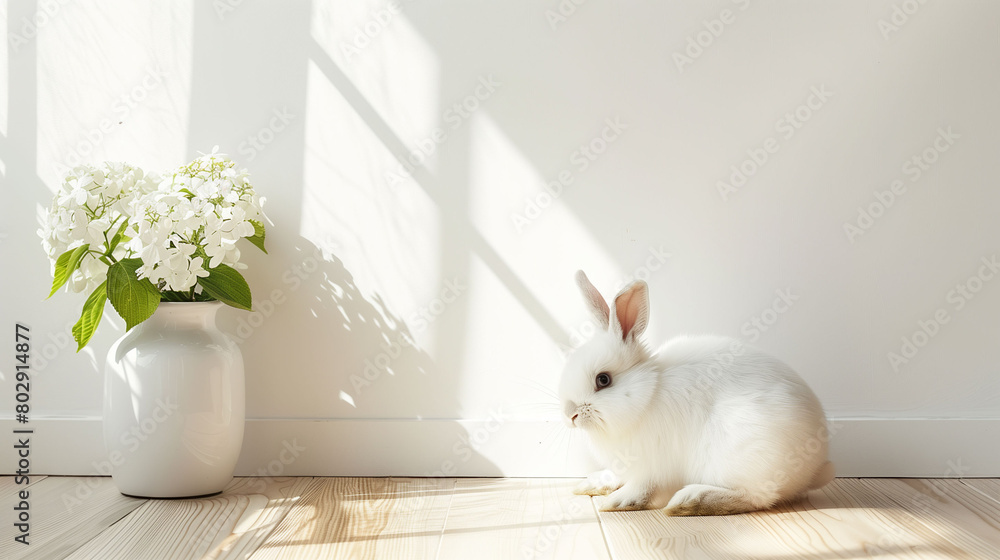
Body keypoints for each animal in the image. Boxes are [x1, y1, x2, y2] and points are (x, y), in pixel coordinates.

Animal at [560, 272, 832, 516]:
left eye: (603, 380)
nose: (569, 414)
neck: (647, 395)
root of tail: (816, 466)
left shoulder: (652, 465)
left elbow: (641, 488)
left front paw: (618, 502)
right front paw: (595, 485)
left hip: (743, 459)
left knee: (757, 497)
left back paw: (690, 501)